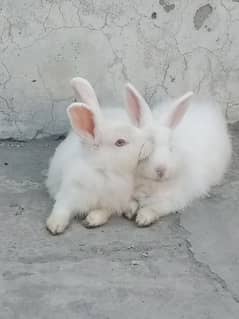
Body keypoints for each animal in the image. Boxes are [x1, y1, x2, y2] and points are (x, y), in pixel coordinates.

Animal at [46, 76, 151, 234]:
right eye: (120, 142)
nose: (148, 146)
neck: (103, 171)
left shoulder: (112, 202)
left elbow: (104, 211)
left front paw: (92, 220)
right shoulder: (68, 193)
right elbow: (61, 208)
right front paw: (55, 225)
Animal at [123, 84, 232, 226]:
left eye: (171, 148)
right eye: (146, 146)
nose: (161, 170)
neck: (152, 184)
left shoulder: (174, 199)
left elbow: (156, 207)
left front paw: (143, 219)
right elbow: (132, 201)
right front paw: (129, 212)